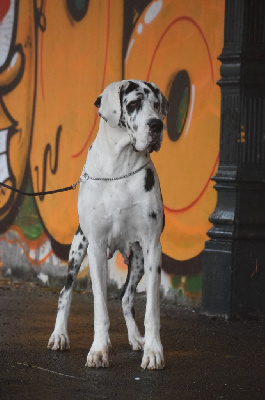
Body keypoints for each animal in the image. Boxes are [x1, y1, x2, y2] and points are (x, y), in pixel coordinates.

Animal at [47, 79, 169, 370]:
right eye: (133, 104)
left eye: (156, 105)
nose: (156, 126)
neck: (120, 168)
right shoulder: (96, 247)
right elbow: (99, 306)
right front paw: (99, 350)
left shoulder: (152, 246)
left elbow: (152, 309)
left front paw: (153, 350)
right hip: (78, 248)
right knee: (64, 292)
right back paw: (59, 335)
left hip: (138, 259)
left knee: (126, 298)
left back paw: (136, 338)